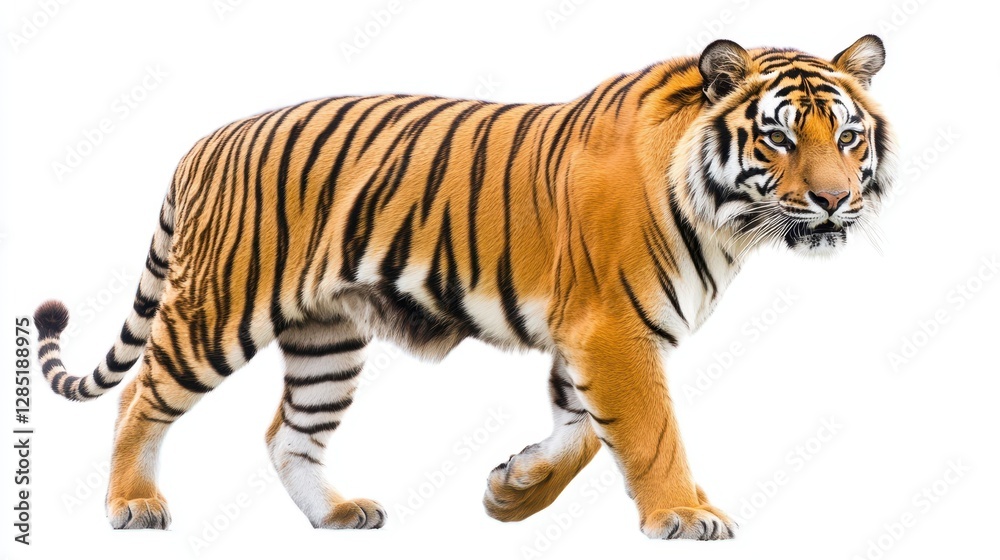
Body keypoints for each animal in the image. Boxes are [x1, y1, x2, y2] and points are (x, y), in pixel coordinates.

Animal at [33, 34, 895, 539]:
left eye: (849, 136)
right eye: (779, 136)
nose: (834, 199)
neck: (729, 221)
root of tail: (203, 142)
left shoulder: (588, 337)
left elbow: (588, 431)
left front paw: (514, 492)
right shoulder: (611, 328)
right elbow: (650, 431)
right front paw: (683, 513)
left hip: (326, 341)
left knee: (288, 433)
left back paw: (337, 515)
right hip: (217, 310)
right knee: (137, 396)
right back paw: (131, 504)